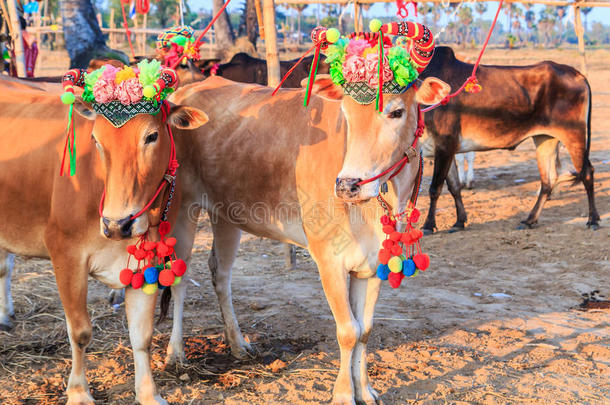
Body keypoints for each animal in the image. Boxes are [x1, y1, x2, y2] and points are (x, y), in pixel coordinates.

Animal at [0, 79, 207, 404]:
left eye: (151, 136)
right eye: (96, 140)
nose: (117, 224)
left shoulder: (145, 261)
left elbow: (141, 335)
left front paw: (148, 392)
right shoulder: (66, 254)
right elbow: (80, 332)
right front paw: (78, 391)